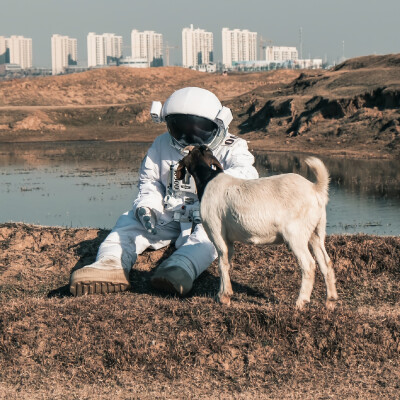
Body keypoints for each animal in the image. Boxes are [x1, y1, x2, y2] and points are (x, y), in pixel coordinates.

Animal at [177, 145, 338, 310]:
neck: (208, 179)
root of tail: (315, 189)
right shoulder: (228, 238)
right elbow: (227, 262)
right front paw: (225, 293)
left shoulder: (216, 230)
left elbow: (222, 263)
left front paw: (223, 297)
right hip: (316, 231)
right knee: (325, 262)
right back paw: (330, 301)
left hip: (296, 234)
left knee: (308, 264)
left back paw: (301, 302)